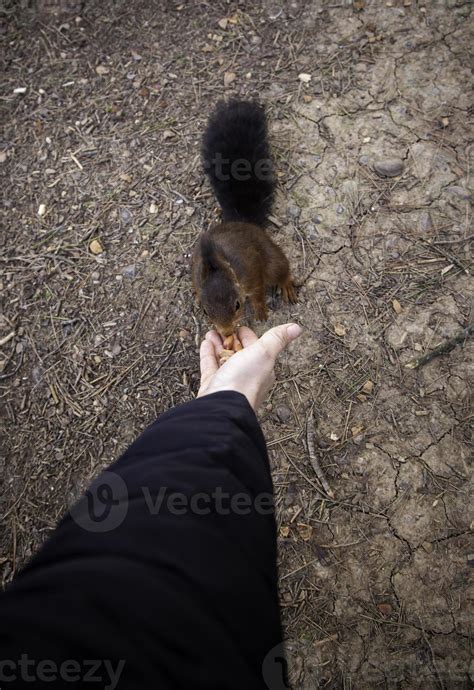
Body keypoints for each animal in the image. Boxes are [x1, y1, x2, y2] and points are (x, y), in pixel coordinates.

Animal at [193, 101, 296, 338]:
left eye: (238, 305)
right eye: (206, 311)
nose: (226, 333)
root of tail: (243, 222)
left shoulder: (252, 273)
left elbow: (258, 293)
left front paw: (260, 311)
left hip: (271, 258)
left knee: (281, 269)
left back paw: (286, 284)